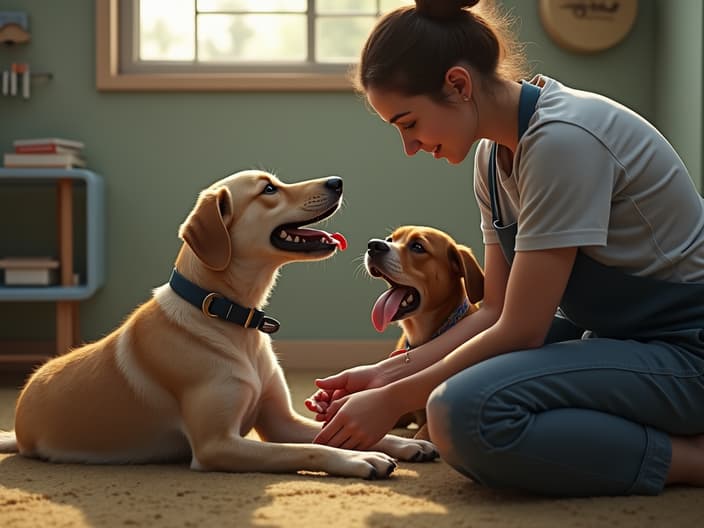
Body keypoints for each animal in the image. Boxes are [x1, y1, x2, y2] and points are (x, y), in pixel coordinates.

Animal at [0, 172, 438, 478]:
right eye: (269, 190)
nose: (337, 181)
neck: (228, 316)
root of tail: (17, 426)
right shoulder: (218, 445)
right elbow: (308, 449)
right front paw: (361, 458)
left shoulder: (279, 421)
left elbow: (340, 430)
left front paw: (403, 444)